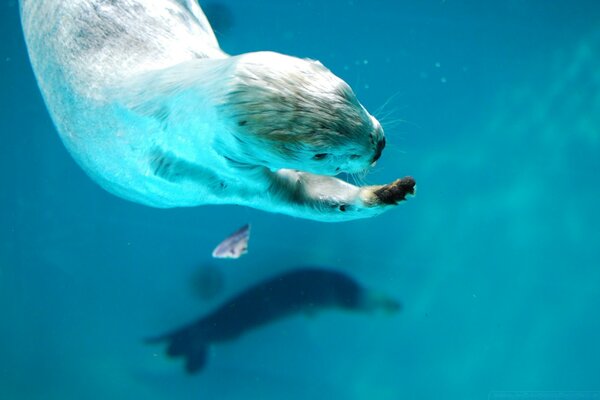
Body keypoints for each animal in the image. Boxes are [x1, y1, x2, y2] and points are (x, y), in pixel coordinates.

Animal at [18, 0, 412, 222]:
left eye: (348, 90)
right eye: (319, 154)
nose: (378, 145)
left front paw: (392, 190)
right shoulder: (209, 171)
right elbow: (297, 197)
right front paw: (385, 193)